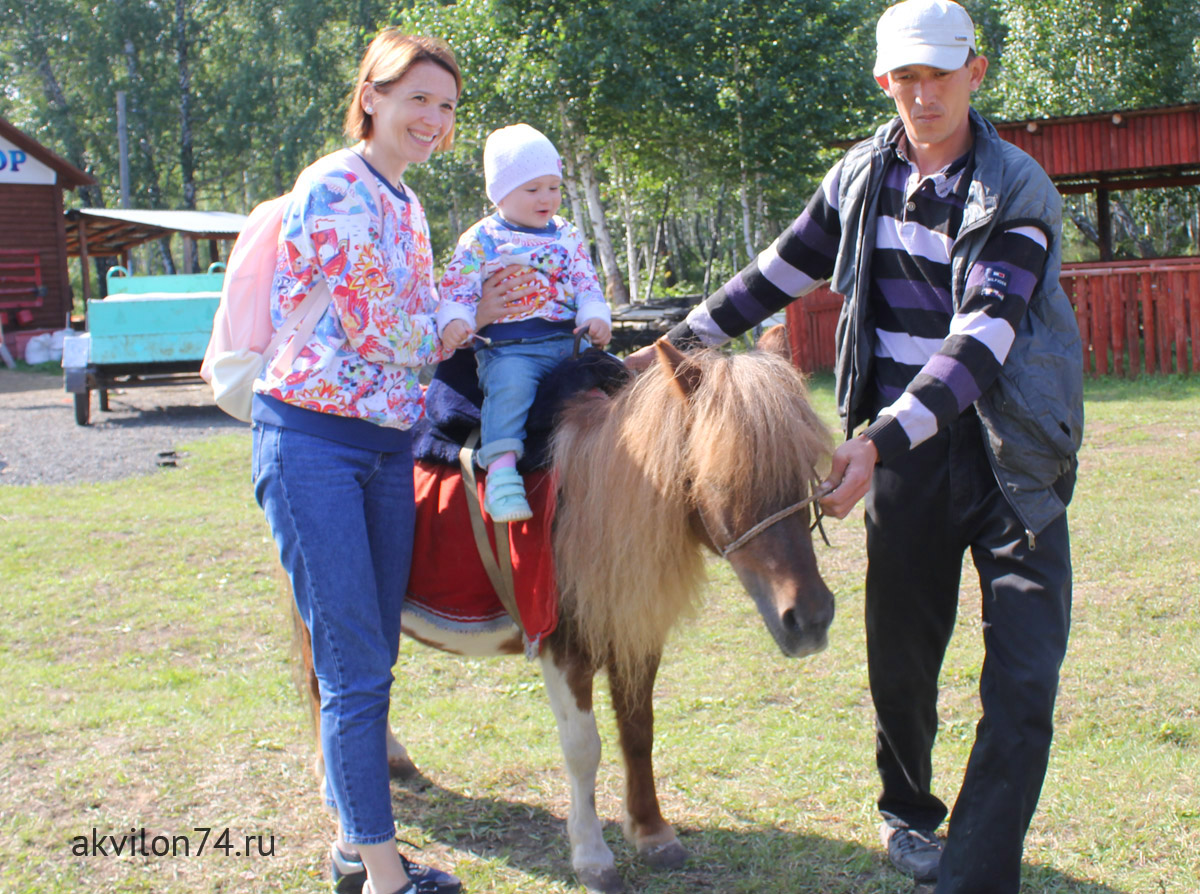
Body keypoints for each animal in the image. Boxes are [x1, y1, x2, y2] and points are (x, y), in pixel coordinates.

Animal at [297, 338, 835, 888]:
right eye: (722, 480)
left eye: (808, 468)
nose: (811, 619)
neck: (594, 500)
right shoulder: (564, 651)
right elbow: (583, 749)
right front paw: (592, 855)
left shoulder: (634, 636)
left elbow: (638, 732)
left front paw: (652, 832)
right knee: (324, 688)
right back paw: (335, 794)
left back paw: (392, 760)